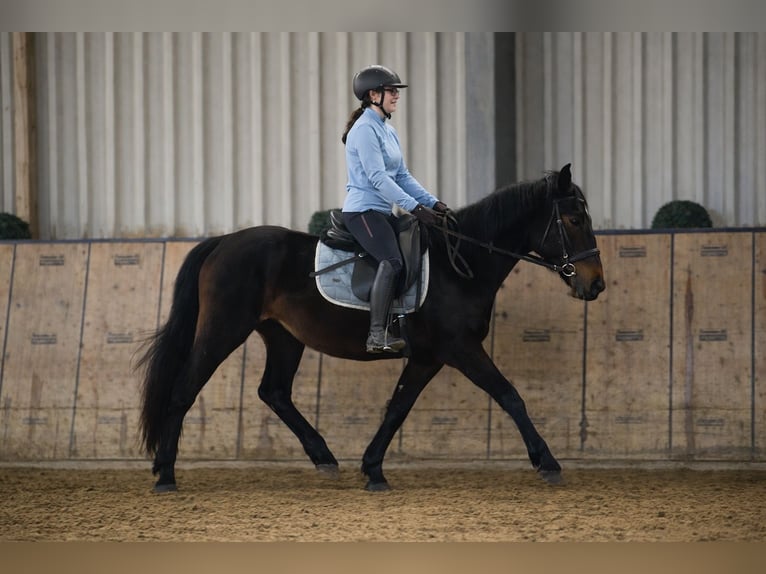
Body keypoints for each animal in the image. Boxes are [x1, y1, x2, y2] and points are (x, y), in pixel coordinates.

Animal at [137, 163, 605, 492]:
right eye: (574, 220)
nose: (596, 284)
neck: (461, 264)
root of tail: (222, 242)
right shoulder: (461, 349)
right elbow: (510, 396)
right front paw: (548, 463)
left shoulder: (428, 357)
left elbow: (397, 407)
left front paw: (373, 468)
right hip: (223, 330)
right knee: (184, 389)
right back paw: (166, 475)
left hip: (284, 337)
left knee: (274, 392)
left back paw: (324, 458)